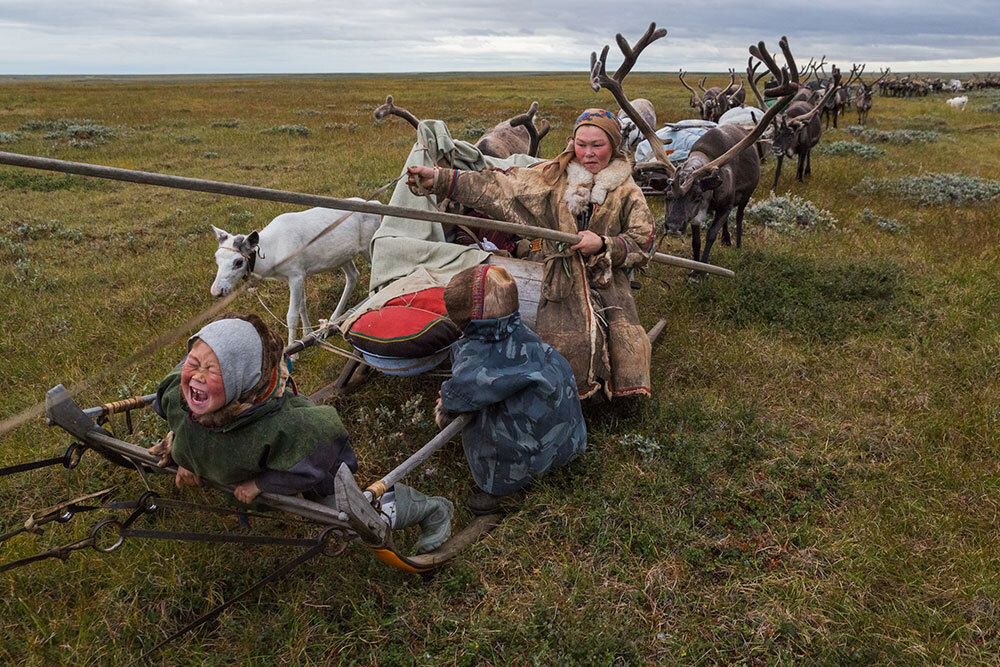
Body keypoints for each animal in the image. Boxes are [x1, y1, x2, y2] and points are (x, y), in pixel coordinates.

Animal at [210, 201, 378, 350]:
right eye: (216, 258)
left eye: (238, 262)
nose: (217, 291)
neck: (272, 258)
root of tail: (377, 204)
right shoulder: (299, 274)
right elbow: (302, 305)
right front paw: (307, 332)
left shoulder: (295, 273)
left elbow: (291, 315)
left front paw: (292, 351)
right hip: (343, 257)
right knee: (353, 275)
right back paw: (333, 318)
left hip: (368, 245)